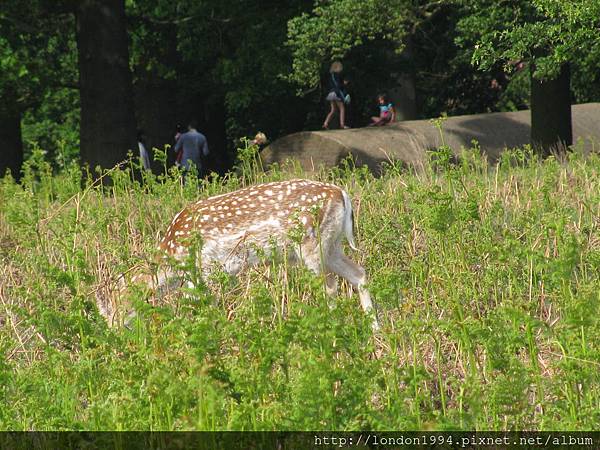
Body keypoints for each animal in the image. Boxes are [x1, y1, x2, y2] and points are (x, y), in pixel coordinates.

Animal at [98, 179, 380, 330]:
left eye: (117, 305)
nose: (114, 330)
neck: (174, 253)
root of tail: (342, 194)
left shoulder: (204, 269)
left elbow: (200, 305)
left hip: (311, 244)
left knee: (330, 285)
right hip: (332, 245)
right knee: (359, 273)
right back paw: (375, 329)